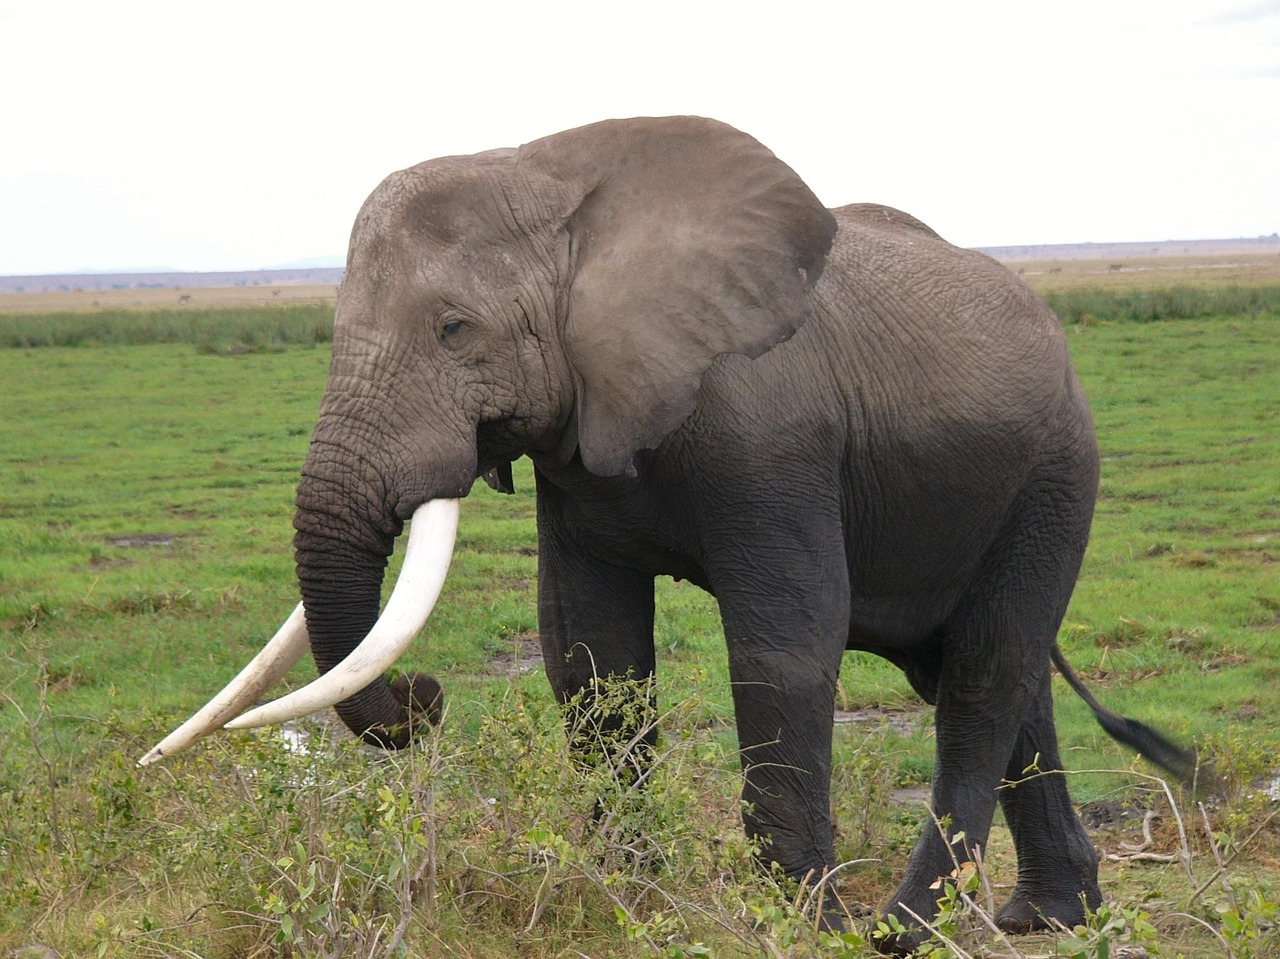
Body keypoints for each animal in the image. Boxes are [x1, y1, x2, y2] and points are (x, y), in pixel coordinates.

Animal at [143, 116, 1196, 950]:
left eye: (453, 328)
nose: (424, 696)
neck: (550, 180)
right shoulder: (578, 432)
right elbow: (588, 650)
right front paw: (633, 907)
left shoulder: (776, 432)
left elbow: (786, 642)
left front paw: (799, 926)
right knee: (999, 674)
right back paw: (1047, 917)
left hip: (1056, 473)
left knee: (984, 673)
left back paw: (905, 928)